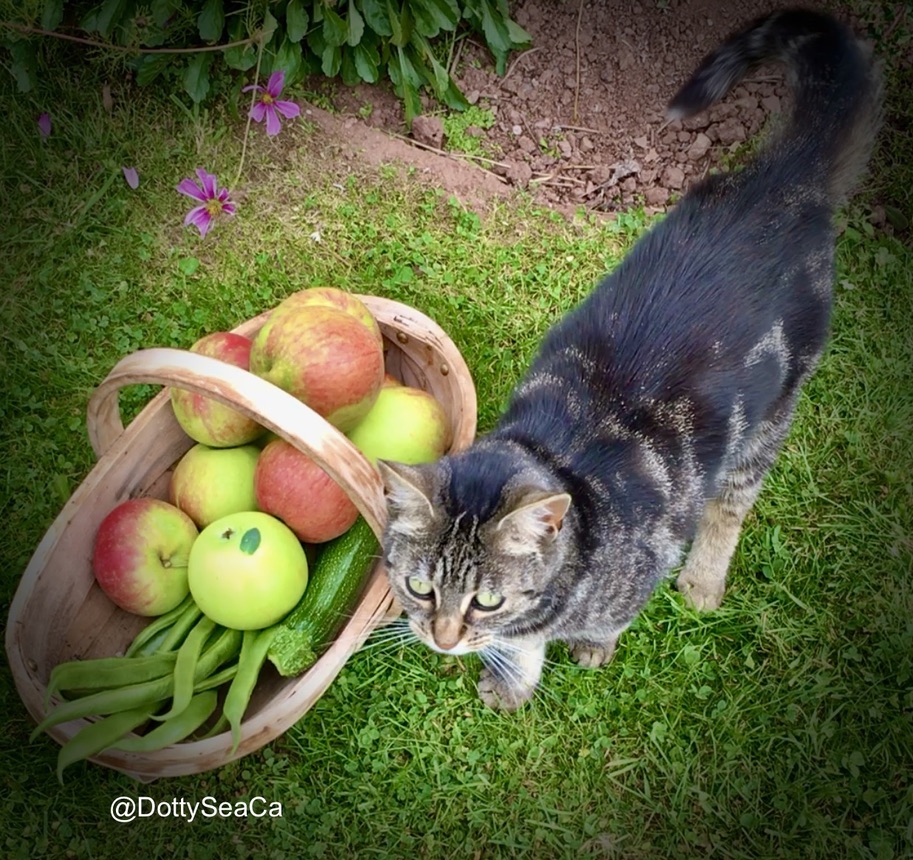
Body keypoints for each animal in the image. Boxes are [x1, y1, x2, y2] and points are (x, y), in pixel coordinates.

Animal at [374, 10, 880, 708]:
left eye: (487, 600)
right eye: (419, 588)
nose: (442, 640)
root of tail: (784, 178)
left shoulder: (643, 561)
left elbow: (583, 626)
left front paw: (575, 652)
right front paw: (513, 676)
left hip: (771, 415)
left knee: (732, 505)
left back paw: (704, 581)